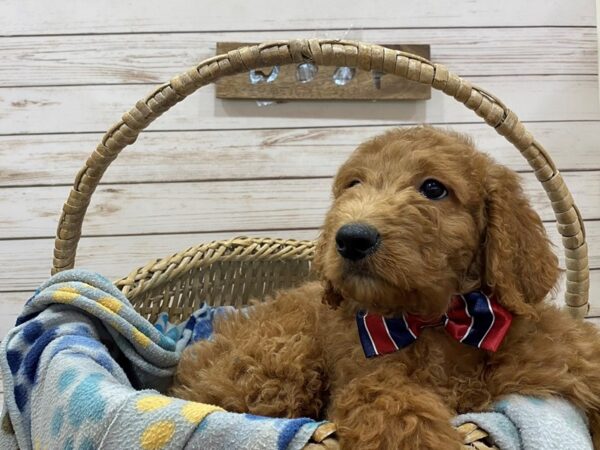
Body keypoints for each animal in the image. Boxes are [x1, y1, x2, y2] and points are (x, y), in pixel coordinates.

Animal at [170, 126, 600, 450]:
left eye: (433, 188)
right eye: (353, 184)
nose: (351, 238)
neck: (436, 320)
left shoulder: (534, 345)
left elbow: (575, 353)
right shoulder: (364, 377)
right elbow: (391, 404)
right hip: (282, 360)